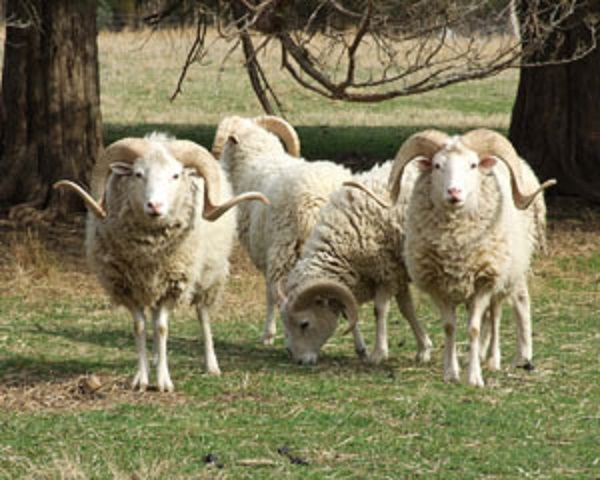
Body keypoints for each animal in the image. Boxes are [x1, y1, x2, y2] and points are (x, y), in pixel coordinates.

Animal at [55, 133, 268, 392]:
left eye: (175, 175)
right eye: (138, 174)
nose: (154, 206)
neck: (151, 251)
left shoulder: (173, 284)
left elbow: (162, 328)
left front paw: (164, 381)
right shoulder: (127, 287)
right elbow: (140, 327)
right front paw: (141, 378)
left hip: (209, 276)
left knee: (203, 315)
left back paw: (211, 364)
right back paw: (156, 357)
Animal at [216, 118, 356, 346]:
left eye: (226, 145)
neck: (257, 158)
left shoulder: (267, 254)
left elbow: (269, 294)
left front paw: (268, 335)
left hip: (287, 249)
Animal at [276, 163, 432, 366]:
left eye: (304, 323)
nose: (298, 360)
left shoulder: (386, 272)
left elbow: (380, 310)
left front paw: (378, 353)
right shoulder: (397, 270)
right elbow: (407, 309)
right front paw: (424, 348)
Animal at [382, 128, 556, 386]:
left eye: (473, 165)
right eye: (437, 165)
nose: (454, 192)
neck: (456, 246)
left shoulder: (485, 280)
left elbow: (473, 328)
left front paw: (474, 377)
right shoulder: (438, 285)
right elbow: (449, 327)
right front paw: (451, 372)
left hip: (510, 270)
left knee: (502, 311)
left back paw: (505, 358)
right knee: (487, 317)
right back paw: (481, 355)